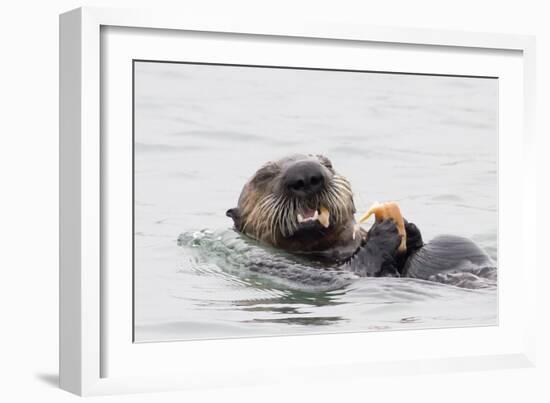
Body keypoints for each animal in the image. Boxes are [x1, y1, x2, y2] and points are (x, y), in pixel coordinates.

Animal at [226, 153, 498, 282]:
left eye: (328, 164)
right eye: (263, 176)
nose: (306, 174)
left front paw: (410, 230)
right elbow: (361, 266)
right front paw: (385, 231)